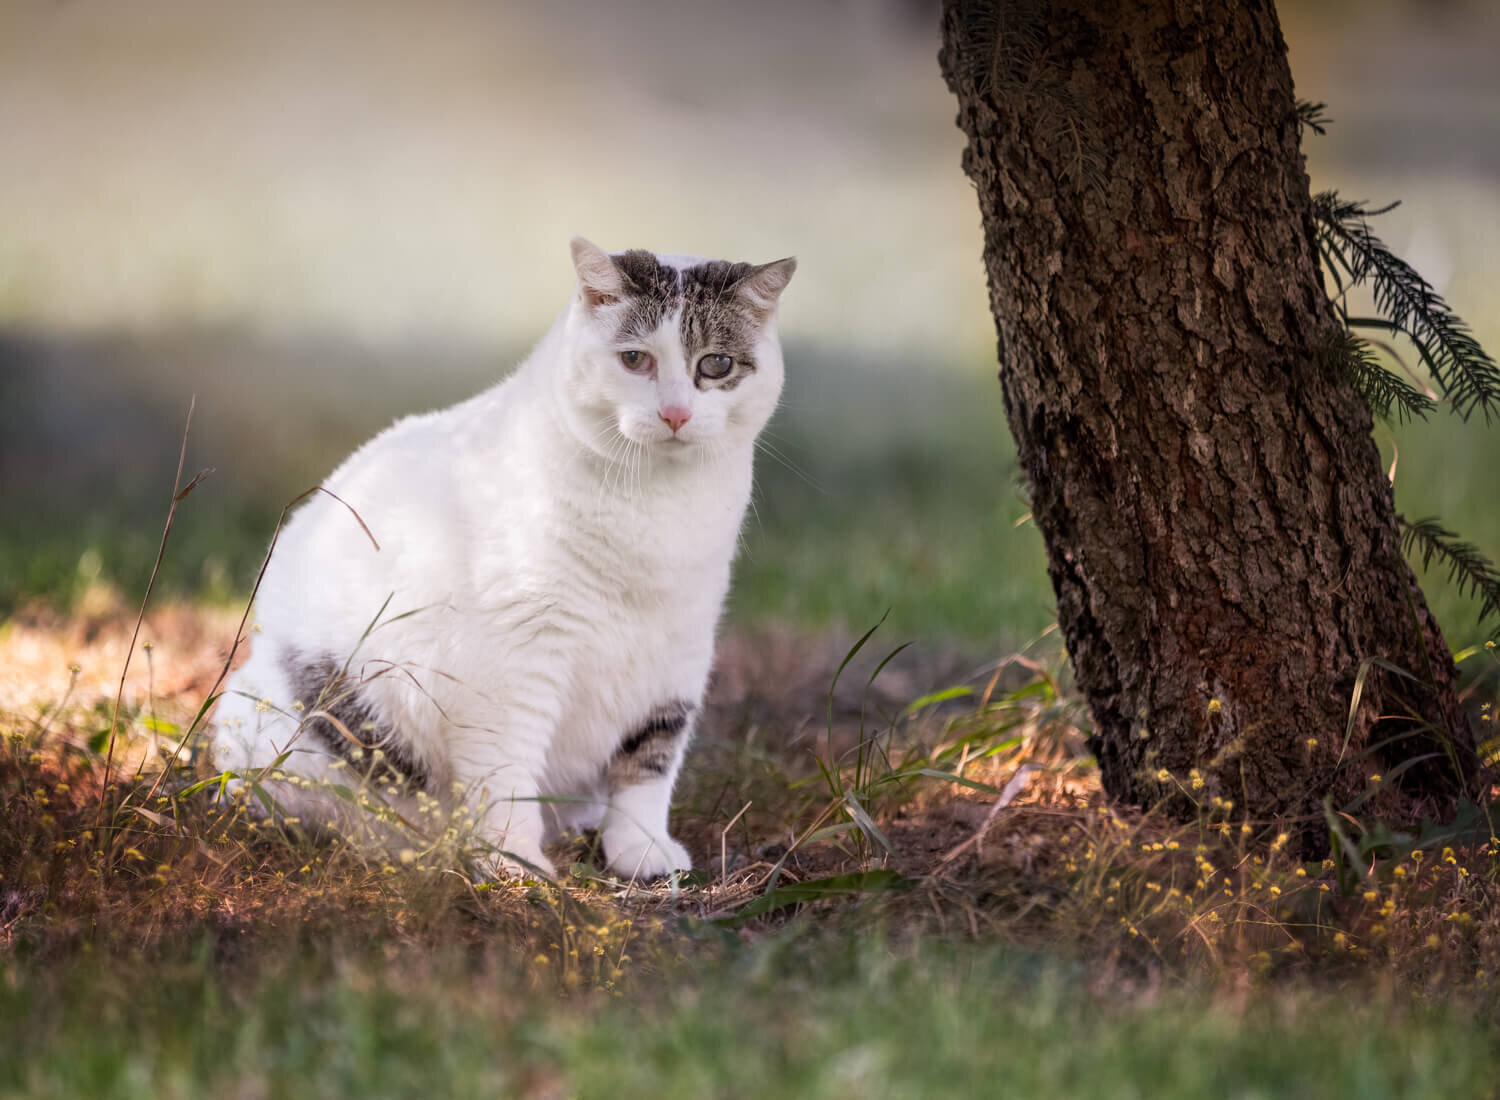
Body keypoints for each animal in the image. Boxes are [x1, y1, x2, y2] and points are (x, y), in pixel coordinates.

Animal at [216, 238, 798, 876]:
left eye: (715, 365)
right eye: (634, 360)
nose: (675, 414)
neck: (656, 507)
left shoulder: (678, 652)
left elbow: (650, 762)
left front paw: (640, 850)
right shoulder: (513, 664)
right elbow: (507, 771)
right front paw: (512, 862)